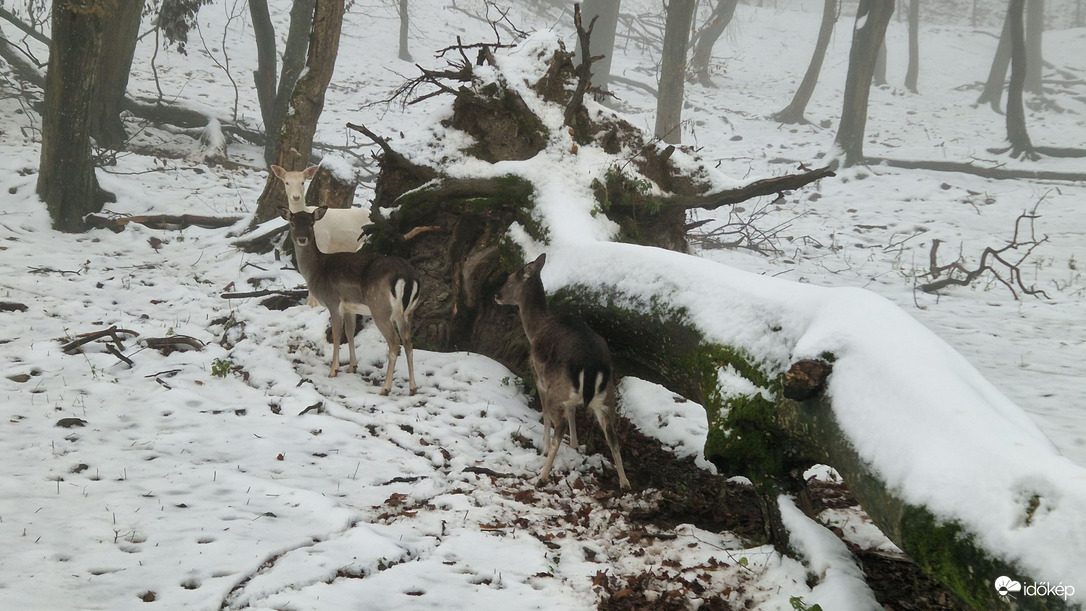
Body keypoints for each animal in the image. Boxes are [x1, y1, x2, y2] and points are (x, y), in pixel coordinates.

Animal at [284, 207, 419, 397]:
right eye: (292, 223)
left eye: (311, 223)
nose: (302, 239)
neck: (316, 270)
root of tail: (407, 276)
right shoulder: (350, 308)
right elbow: (349, 332)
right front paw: (352, 366)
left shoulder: (333, 302)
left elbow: (336, 334)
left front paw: (333, 370)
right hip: (408, 312)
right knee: (408, 342)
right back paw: (413, 387)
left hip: (380, 309)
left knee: (394, 342)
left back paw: (385, 388)